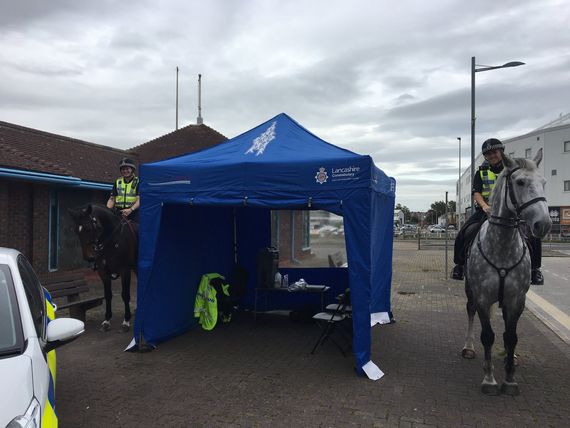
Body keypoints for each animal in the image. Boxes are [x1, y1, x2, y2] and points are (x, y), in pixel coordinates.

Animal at [69, 203, 138, 332]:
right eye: (76, 231)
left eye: (88, 228)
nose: (89, 257)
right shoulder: (103, 272)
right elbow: (108, 295)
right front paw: (107, 320)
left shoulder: (125, 271)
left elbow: (125, 295)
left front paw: (126, 321)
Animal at [460, 150, 548, 394]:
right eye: (520, 182)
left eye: (544, 182)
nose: (544, 224)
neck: (502, 246)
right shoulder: (482, 296)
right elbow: (488, 336)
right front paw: (489, 379)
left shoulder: (517, 299)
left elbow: (511, 336)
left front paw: (509, 379)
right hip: (470, 290)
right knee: (470, 312)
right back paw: (468, 347)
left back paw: (513, 357)